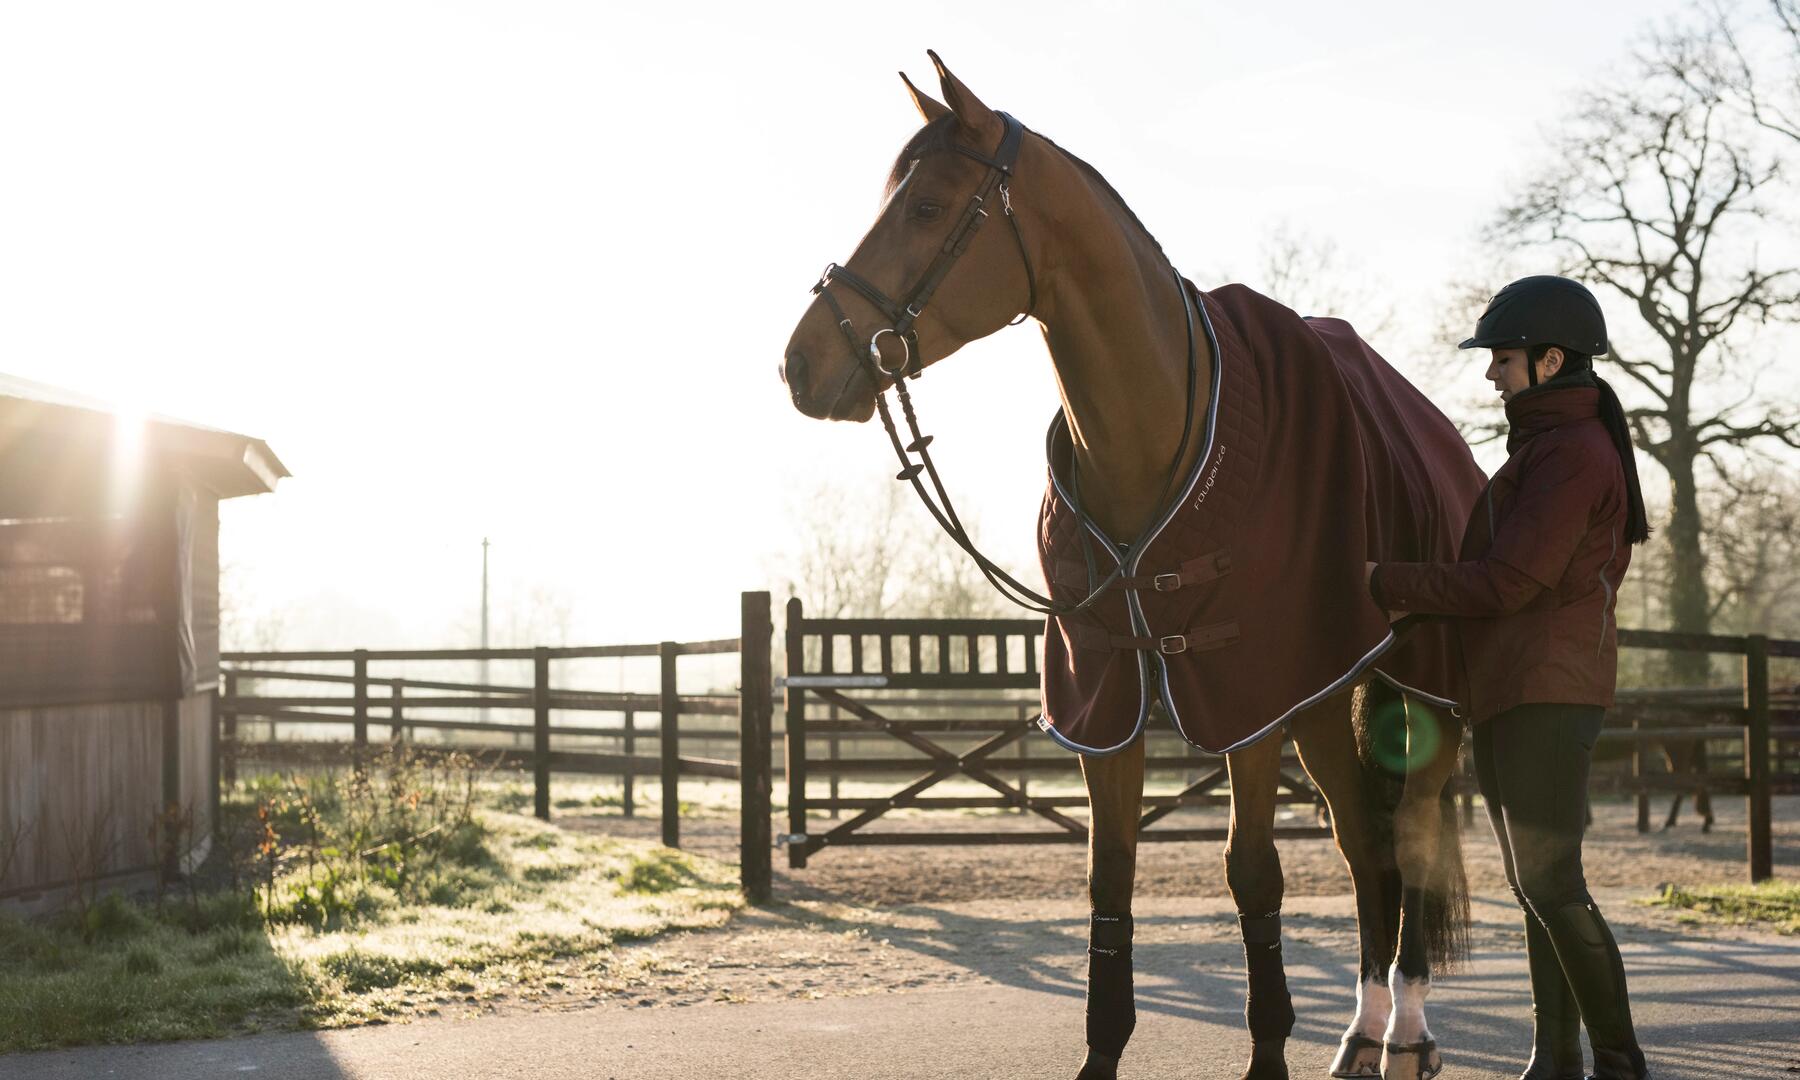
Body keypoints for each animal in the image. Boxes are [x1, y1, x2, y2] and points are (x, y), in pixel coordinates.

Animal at [777, 52, 1476, 1080]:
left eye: (930, 207)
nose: (801, 362)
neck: (1153, 436)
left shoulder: (1241, 692)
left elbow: (1253, 874)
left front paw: (1268, 1051)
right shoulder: (1107, 697)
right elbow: (1110, 881)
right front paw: (1102, 1049)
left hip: (1417, 690)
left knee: (1414, 835)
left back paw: (1411, 1032)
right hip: (1319, 697)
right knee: (1364, 845)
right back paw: (1359, 1032)